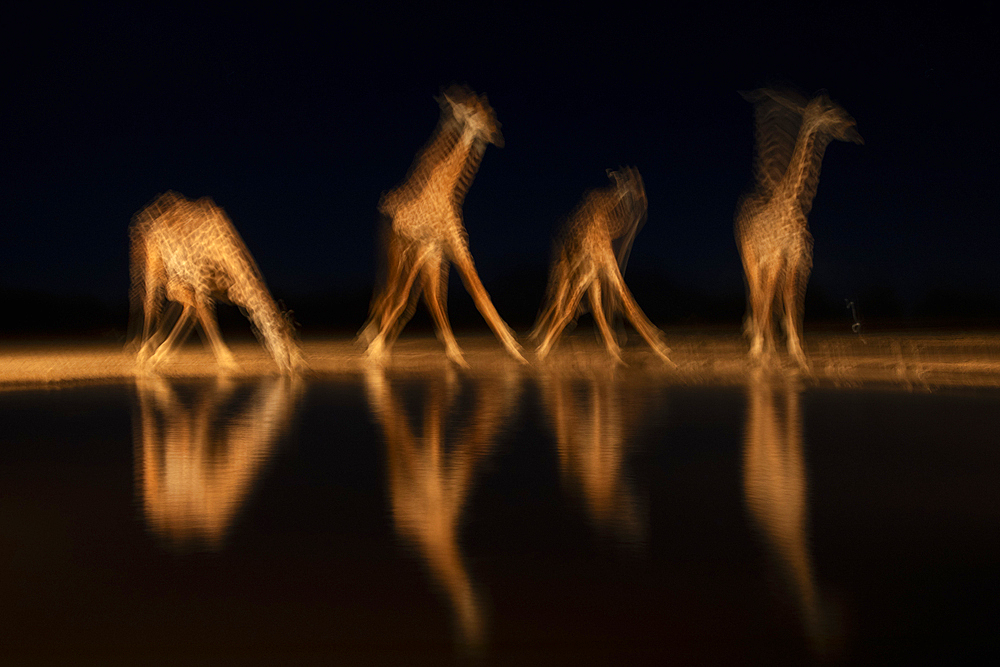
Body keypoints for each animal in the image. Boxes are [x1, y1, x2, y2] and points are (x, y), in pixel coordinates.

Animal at [129, 190, 300, 374]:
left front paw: (160, 356)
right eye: (280, 332)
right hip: (152, 260)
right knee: (150, 302)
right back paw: (141, 354)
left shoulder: (225, 291)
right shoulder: (200, 285)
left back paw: (154, 352)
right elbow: (207, 318)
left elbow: (193, 311)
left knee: (180, 304)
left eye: (294, 334)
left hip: (175, 276)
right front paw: (229, 362)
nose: (296, 366)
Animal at [362, 84, 532, 368]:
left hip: (417, 254)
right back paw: (374, 340)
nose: (497, 135)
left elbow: (477, 293)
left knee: (411, 296)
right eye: (476, 114)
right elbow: (405, 298)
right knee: (389, 291)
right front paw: (375, 350)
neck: (446, 190)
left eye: (490, 114)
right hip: (395, 250)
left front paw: (512, 347)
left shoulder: (446, 248)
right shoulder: (430, 246)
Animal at [532, 167, 672, 366]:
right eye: (629, 182)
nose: (643, 201)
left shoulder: (598, 268)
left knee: (562, 301)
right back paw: (539, 341)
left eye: (640, 182)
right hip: (563, 264)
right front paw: (661, 349)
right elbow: (622, 300)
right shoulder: (601, 264)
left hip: (575, 269)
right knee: (556, 298)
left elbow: (610, 301)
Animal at [732, 86, 864, 368]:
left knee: (765, 298)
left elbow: (794, 304)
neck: (794, 202)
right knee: (757, 295)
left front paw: (797, 355)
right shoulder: (779, 257)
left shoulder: (798, 258)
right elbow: (776, 301)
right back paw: (758, 346)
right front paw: (765, 352)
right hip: (749, 256)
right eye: (831, 111)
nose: (855, 130)